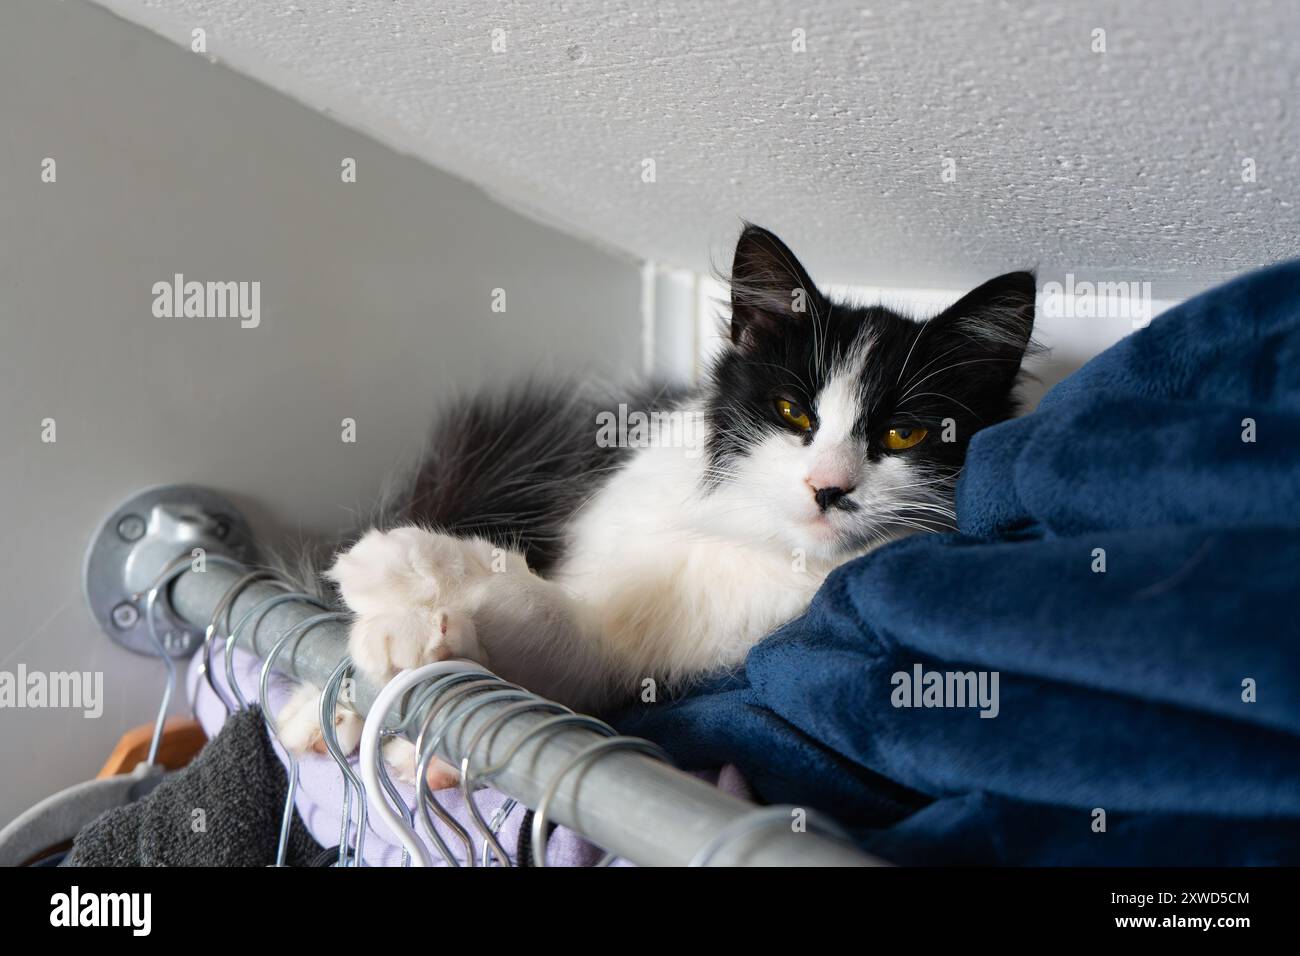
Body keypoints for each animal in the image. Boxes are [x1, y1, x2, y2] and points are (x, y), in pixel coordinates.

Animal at [276, 226, 1034, 785]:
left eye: (903, 434)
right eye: (793, 413)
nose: (828, 487)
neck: (738, 533)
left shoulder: (624, 658)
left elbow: (546, 619)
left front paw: (405, 584)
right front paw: (393, 631)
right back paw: (318, 714)